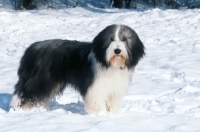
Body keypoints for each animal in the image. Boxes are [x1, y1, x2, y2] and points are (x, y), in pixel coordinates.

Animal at [10, 24, 145, 114]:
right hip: (41, 79)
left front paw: (112, 113)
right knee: (28, 94)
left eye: (124, 39)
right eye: (111, 39)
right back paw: (26, 110)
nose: (117, 50)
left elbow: (112, 101)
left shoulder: (114, 88)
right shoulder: (95, 86)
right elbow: (96, 100)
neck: (111, 65)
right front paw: (99, 114)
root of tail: (31, 49)